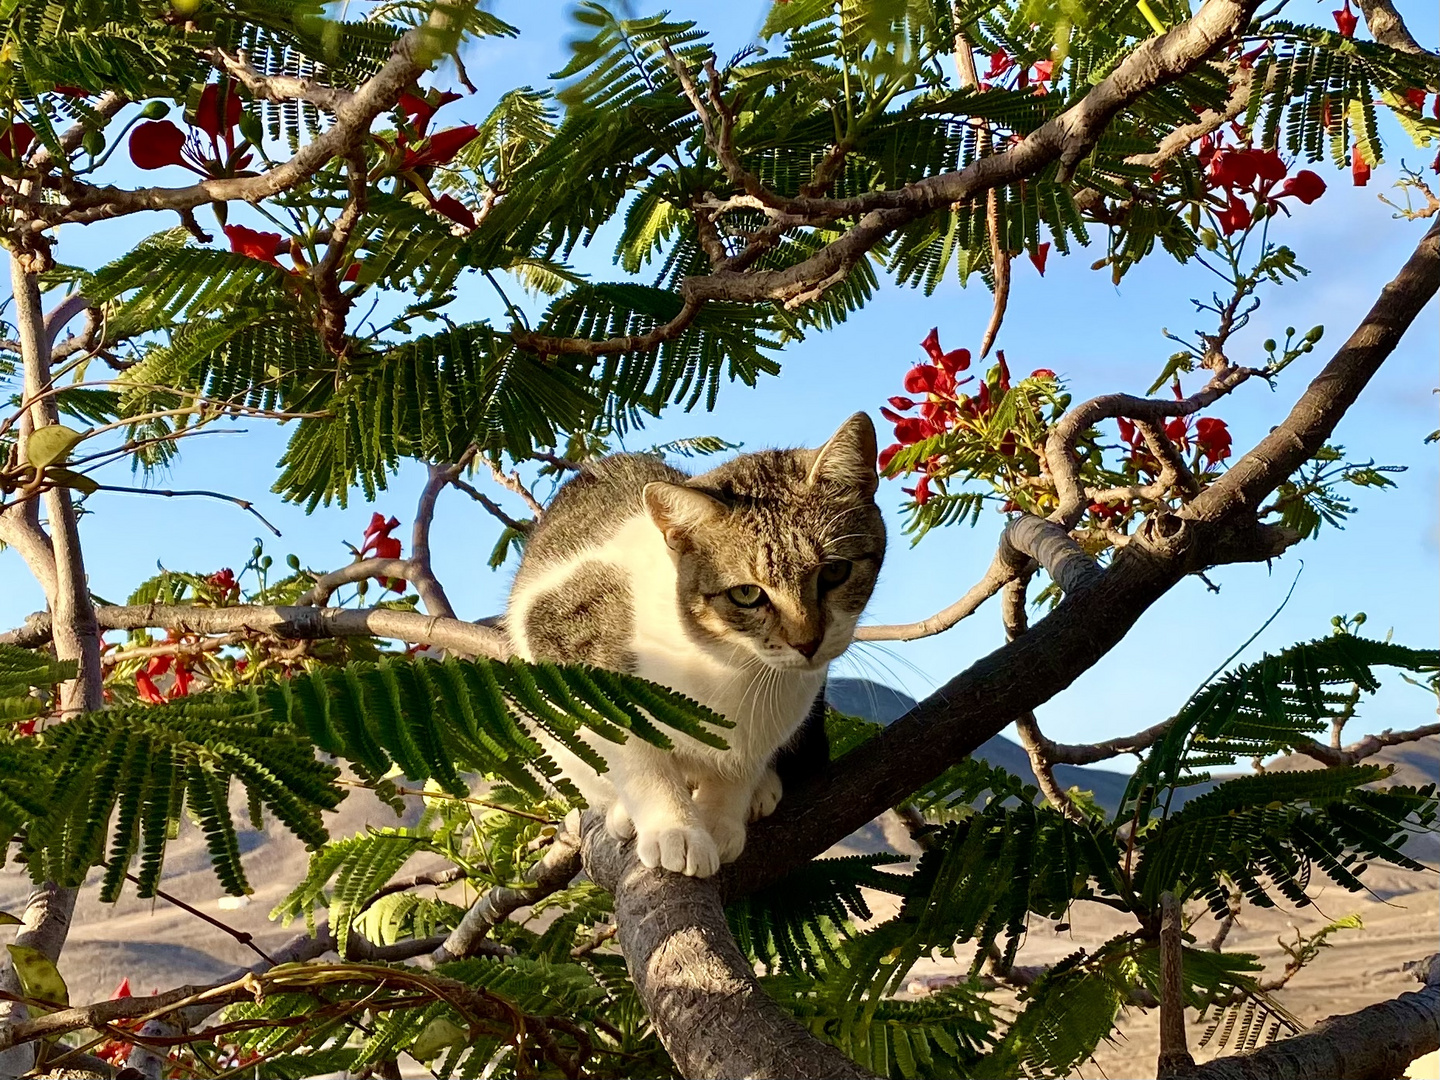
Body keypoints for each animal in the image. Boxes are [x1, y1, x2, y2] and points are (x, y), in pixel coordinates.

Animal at [506, 414, 887, 881]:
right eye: (747, 593)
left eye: (834, 572)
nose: (807, 642)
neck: (731, 663)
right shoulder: (560, 632)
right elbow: (635, 753)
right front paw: (676, 830)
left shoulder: (777, 715)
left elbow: (741, 763)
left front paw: (722, 818)